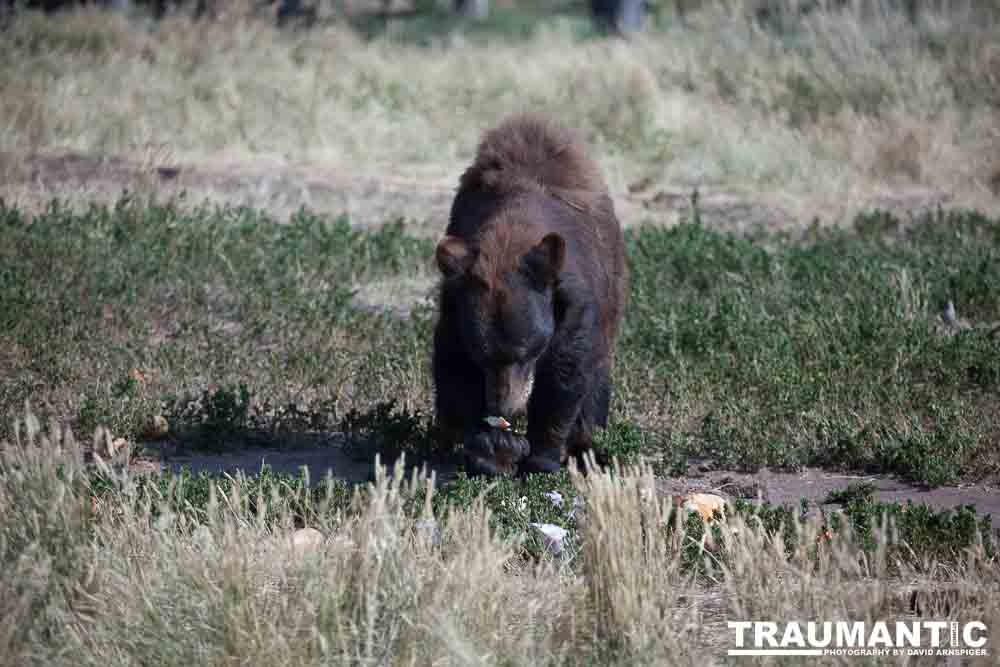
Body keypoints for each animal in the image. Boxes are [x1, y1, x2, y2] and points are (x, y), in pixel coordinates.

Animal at [436, 113, 628, 474]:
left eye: (526, 351)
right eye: (482, 354)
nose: (504, 407)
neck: (510, 237)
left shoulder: (572, 300)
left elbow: (566, 368)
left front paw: (544, 456)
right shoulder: (455, 301)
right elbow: (454, 363)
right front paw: (492, 447)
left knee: (596, 374)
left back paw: (588, 443)